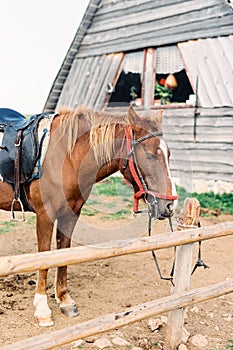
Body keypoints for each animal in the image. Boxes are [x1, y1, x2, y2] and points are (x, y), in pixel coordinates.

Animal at [0, 105, 177, 326]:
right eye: (151, 154)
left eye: (168, 154)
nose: (170, 204)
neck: (65, 156)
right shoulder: (45, 215)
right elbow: (44, 259)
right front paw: (42, 310)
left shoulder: (70, 215)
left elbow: (63, 253)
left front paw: (65, 300)